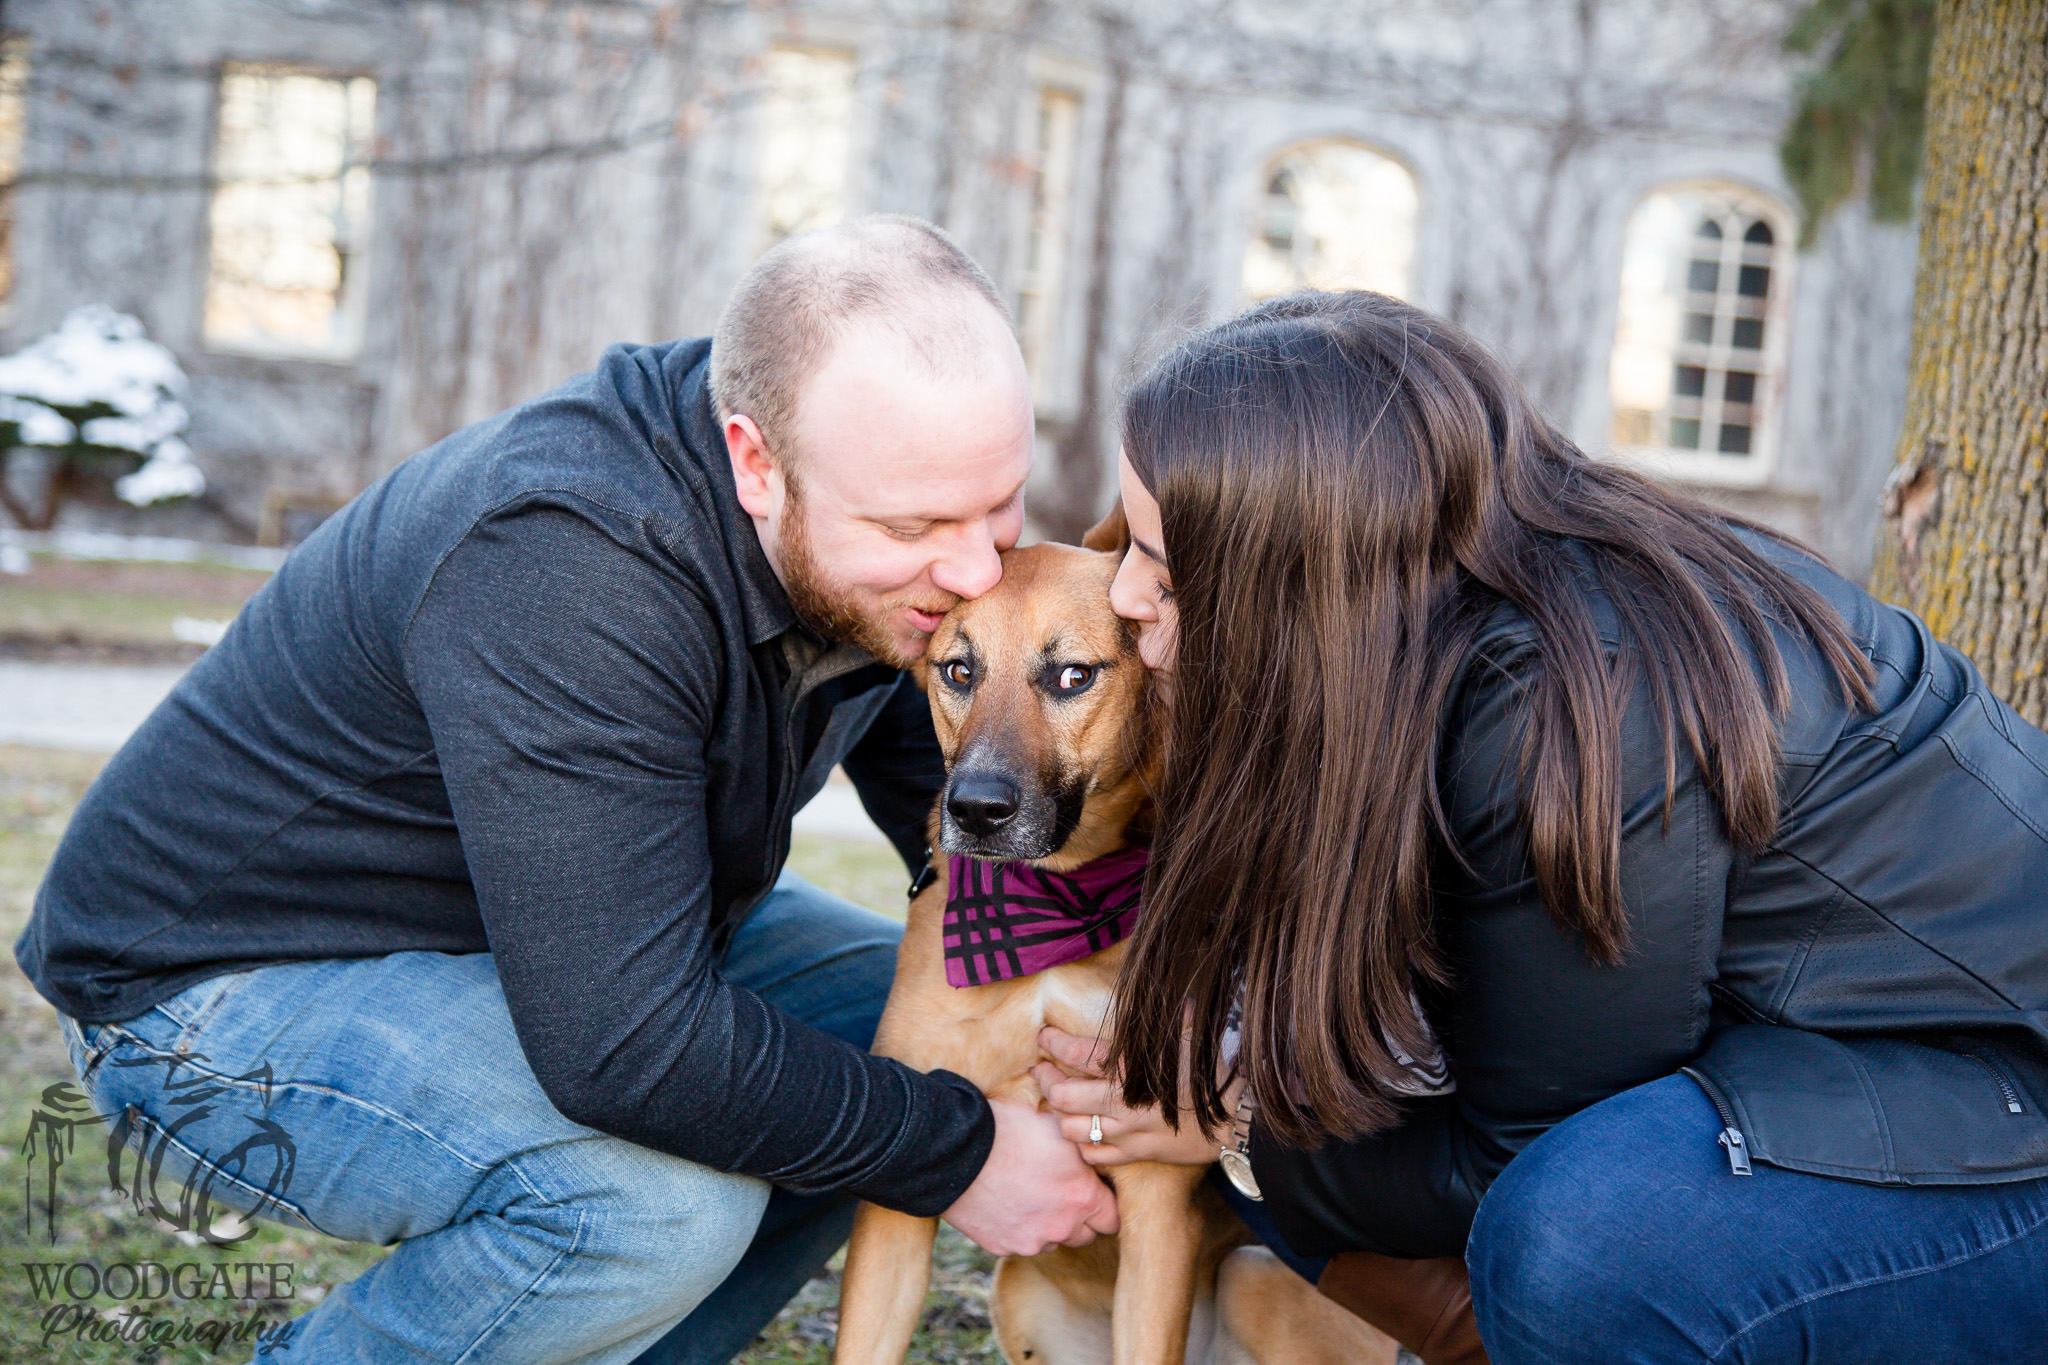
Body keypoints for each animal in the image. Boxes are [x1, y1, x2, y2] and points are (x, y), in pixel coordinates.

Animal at [827, 532, 1392, 1365]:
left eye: (1073, 676)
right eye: (959, 670)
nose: (976, 809)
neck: (1052, 906)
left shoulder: (1155, 1195)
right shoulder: (897, 1209)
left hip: (1257, 1278)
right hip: (1018, 1295)